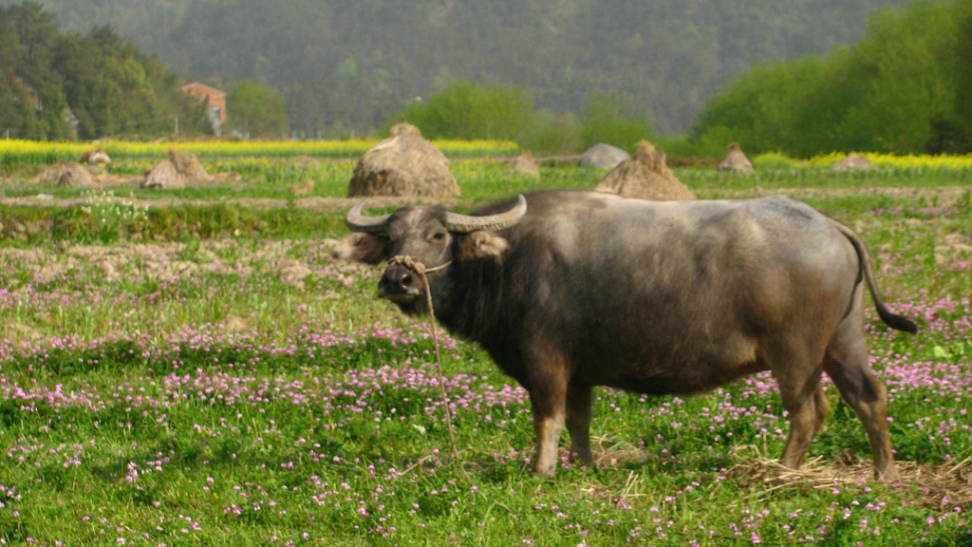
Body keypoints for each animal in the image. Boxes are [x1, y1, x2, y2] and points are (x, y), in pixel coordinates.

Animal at [344, 192, 920, 480]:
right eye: (390, 236)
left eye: (438, 234)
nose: (398, 279)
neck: (507, 262)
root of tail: (830, 227)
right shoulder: (579, 371)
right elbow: (578, 421)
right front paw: (585, 467)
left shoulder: (544, 360)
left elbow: (547, 418)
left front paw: (541, 472)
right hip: (844, 342)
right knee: (869, 397)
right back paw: (884, 474)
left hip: (796, 353)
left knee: (810, 411)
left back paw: (779, 471)